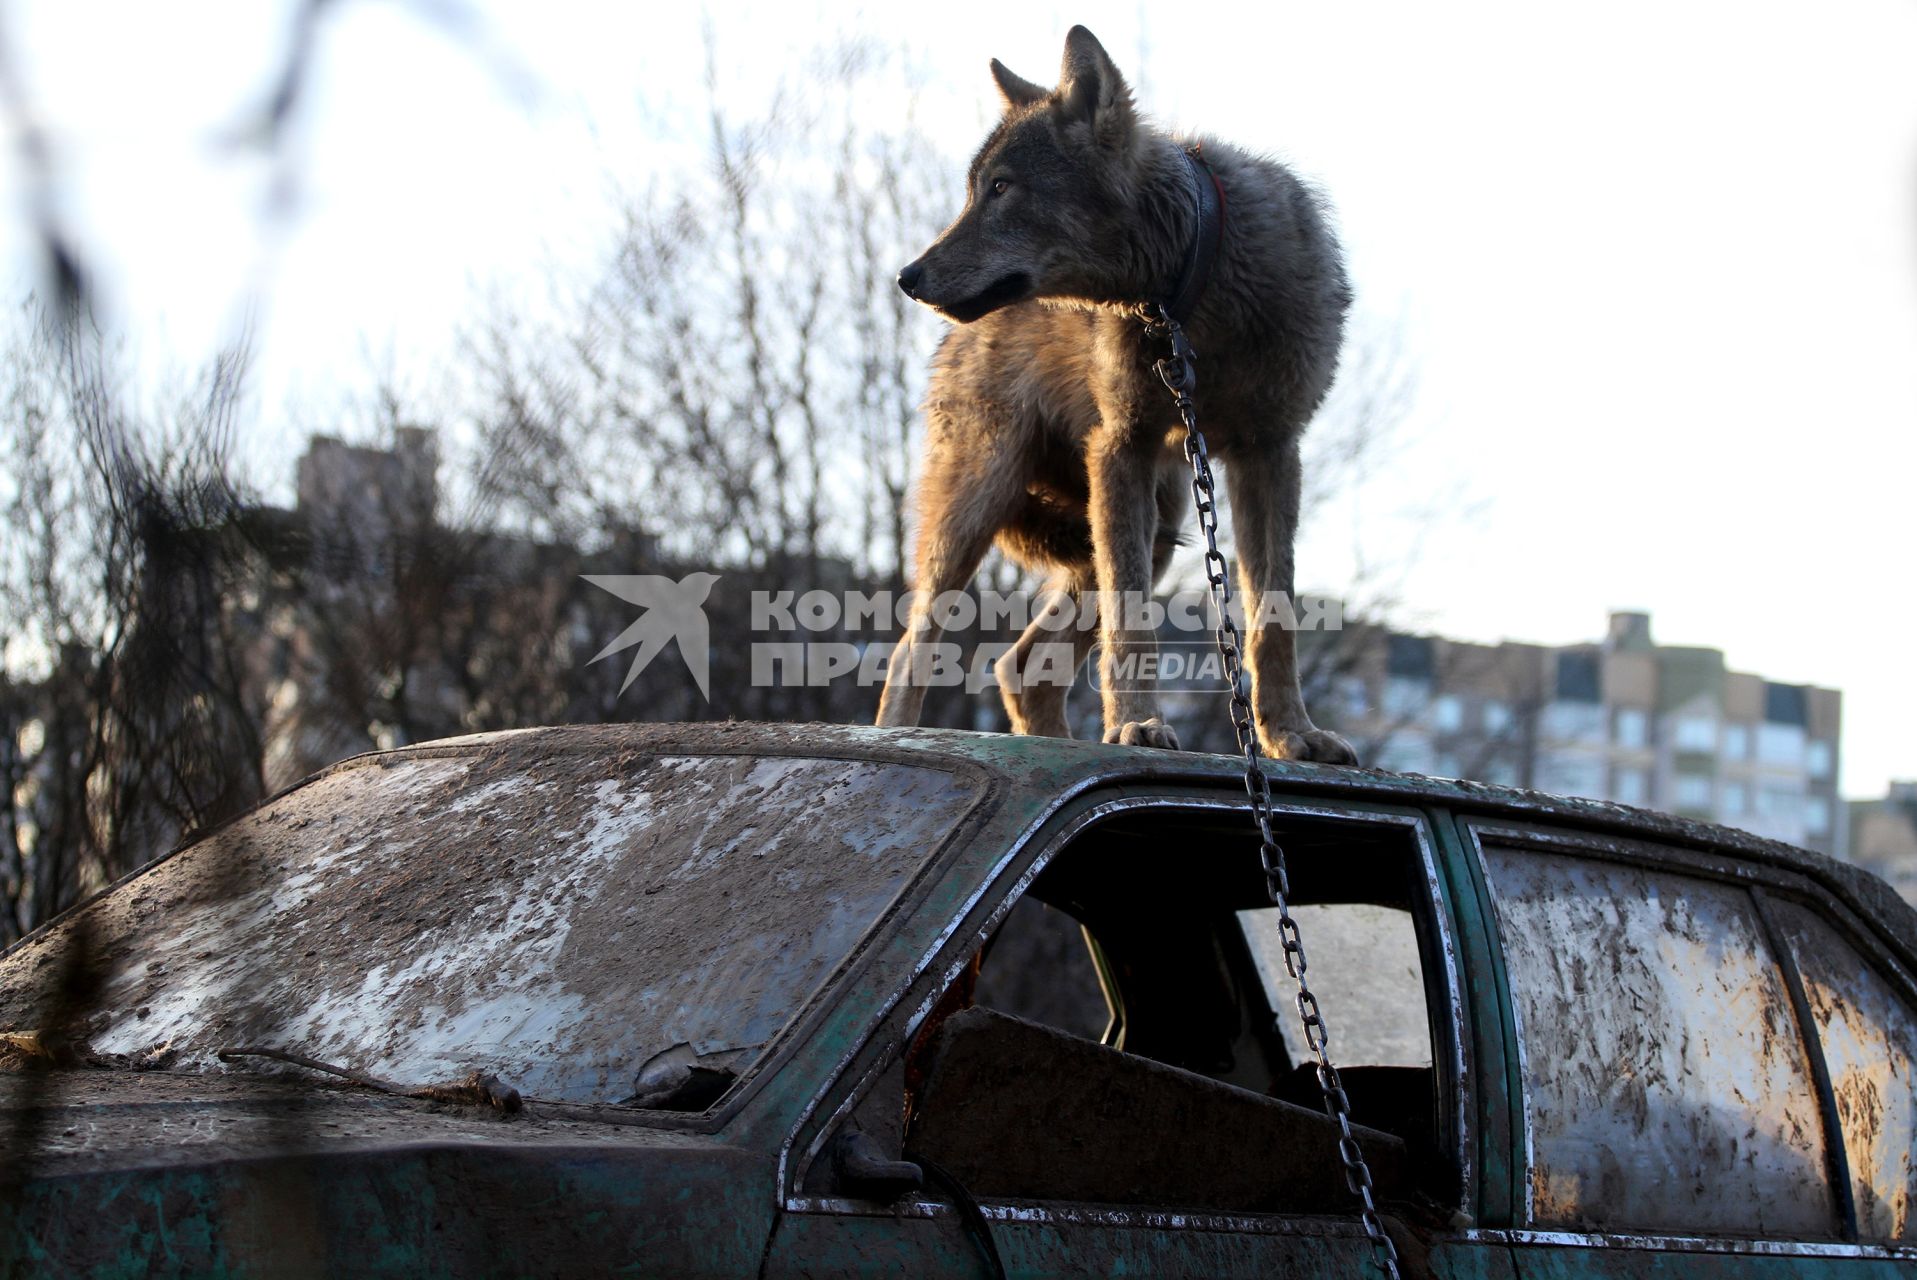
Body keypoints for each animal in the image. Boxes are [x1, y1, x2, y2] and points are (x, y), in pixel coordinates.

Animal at [877, 25, 1357, 766]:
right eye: (974, 190)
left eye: (1001, 188)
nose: (907, 275)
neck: (1190, 292)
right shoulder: (1121, 447)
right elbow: (1134, 625)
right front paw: (1137, 726)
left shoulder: (1271, 453)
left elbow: (1270, 618)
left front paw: (1291, 735)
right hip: (982, 503)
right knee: (912, 650)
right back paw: (899, 734)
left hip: (1152, 527)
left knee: (1021, 670)